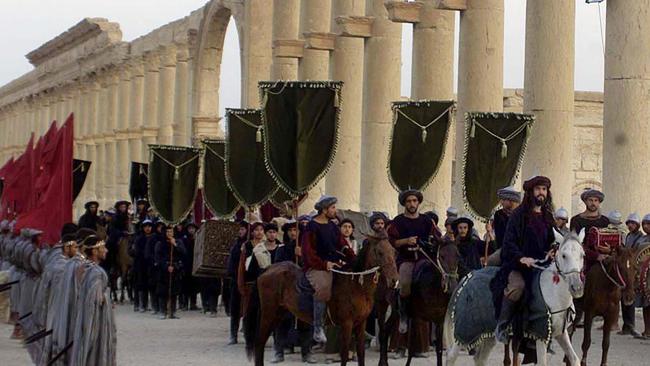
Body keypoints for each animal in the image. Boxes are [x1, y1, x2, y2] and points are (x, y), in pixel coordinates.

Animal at [242, 232, 394, 366]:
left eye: (393, 251)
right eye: (380, 252)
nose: (393, 280)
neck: (356, 284)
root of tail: (267, 270)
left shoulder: (361, 323)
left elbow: (361, 352)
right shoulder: (347, 323)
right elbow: (344, 354)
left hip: (279, 313)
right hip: (268, 313)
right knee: (259, 342)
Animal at [442, 229, 584, 366]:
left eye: (582, 255)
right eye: (564, 255)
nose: (577, 288)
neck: (554, 293)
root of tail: (468, 277)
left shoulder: (561, 333)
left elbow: (574, 359)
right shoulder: (540, 334)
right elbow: (542, 362)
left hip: (488, 334)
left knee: (479, 359)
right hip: (466, 331)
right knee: (451, 357)